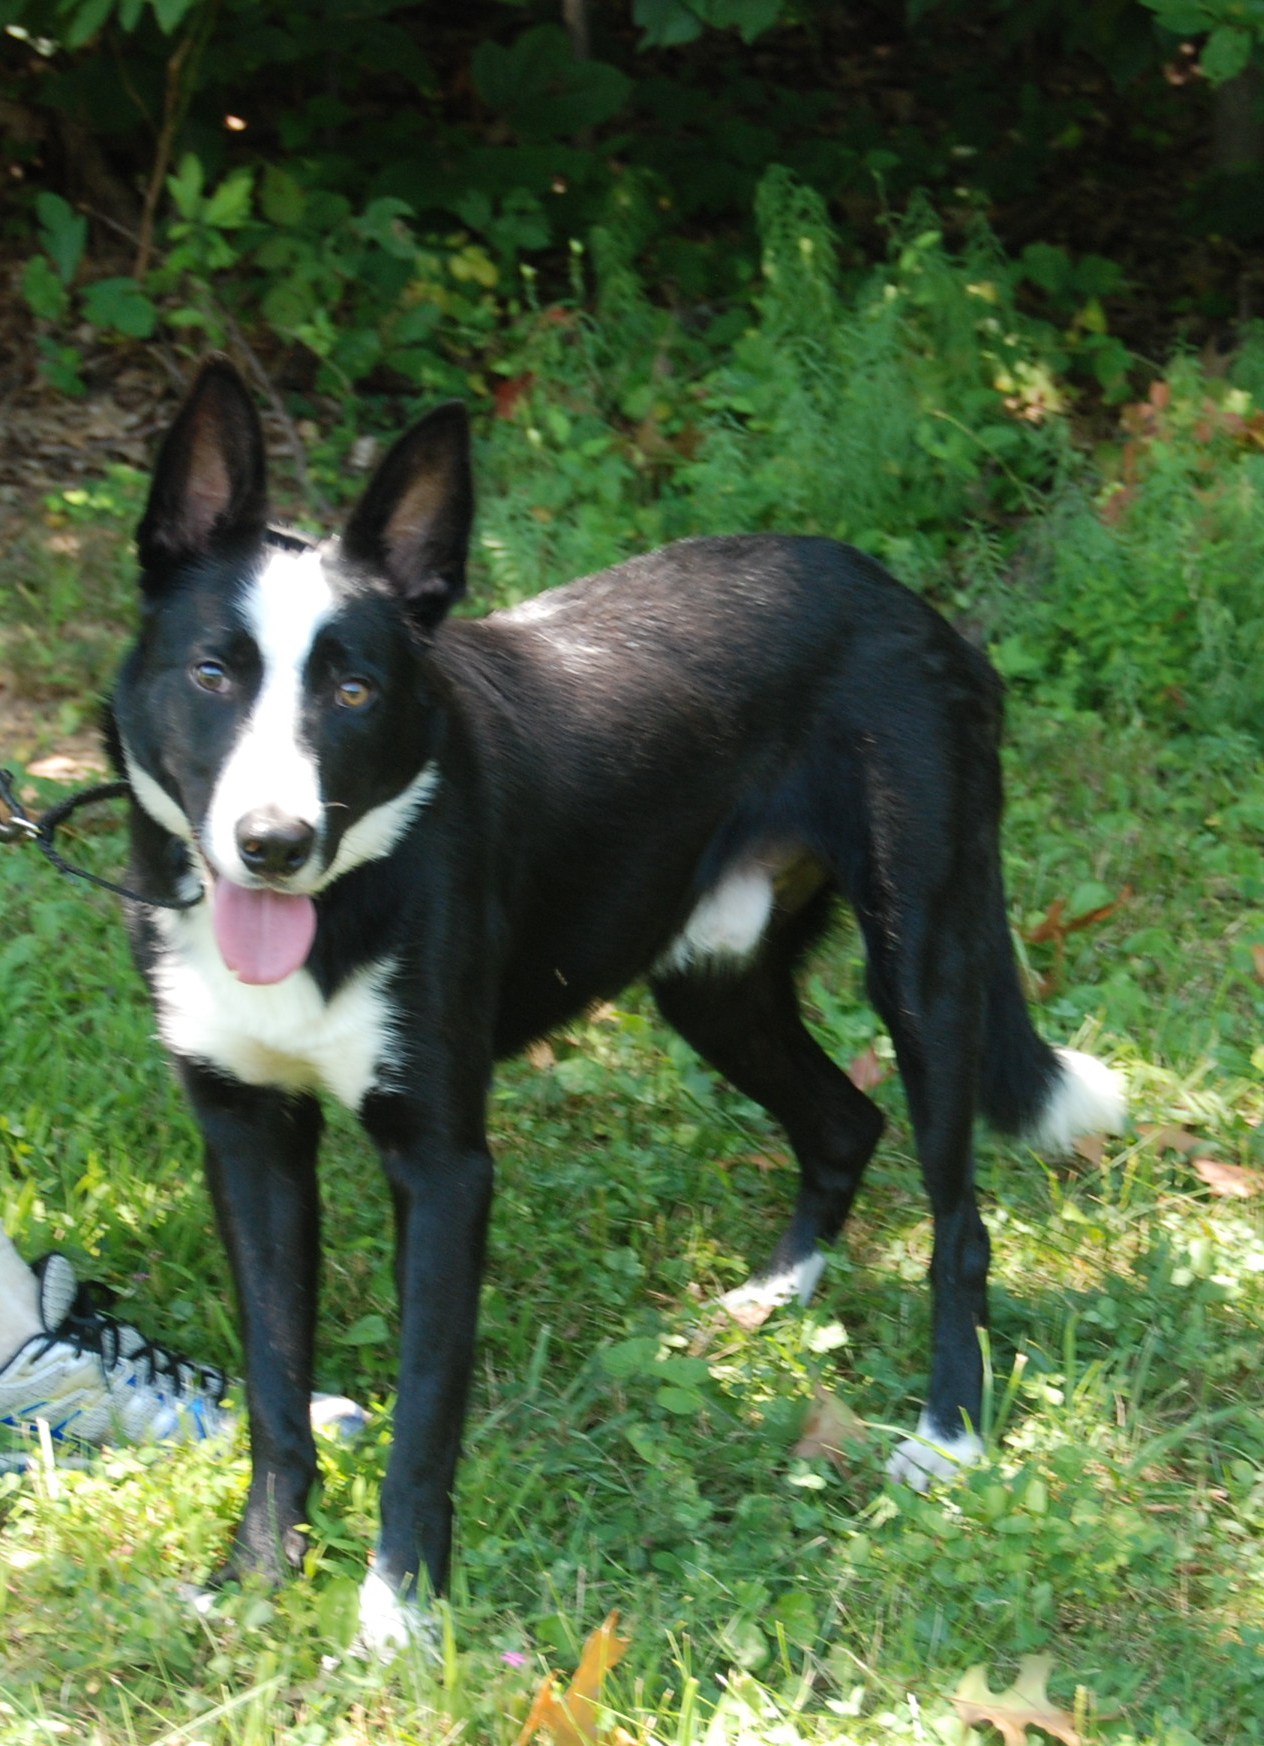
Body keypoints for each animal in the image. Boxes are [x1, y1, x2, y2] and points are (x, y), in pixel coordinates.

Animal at [106, 356, 1124, 1651]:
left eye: (354, 691)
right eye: (211, 675)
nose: (273, 844)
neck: (343, 899)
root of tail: (904, 599)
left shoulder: (444, 1164)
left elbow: (425, 1412)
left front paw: (399, 1614)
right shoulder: (246, 1136)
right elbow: (276, 1393)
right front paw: (253, 1579)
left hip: (925, 967)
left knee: (956, 1223)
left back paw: (947, 1434)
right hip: (709, 977)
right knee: (845, 1122)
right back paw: (769, 1299)